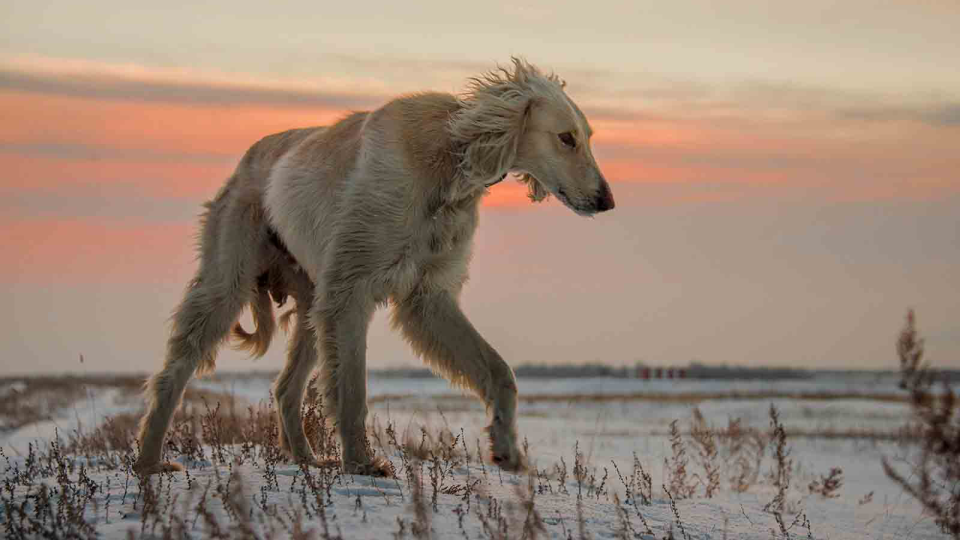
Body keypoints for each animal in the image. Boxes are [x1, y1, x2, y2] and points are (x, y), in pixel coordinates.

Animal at [133, 58, 616, 476]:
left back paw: (307, 460)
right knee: (173, 375)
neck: (446, 161)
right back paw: (149, 461)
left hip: (313, 301)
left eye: (588, 136)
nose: (606, 200)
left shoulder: (427, 297)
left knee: (286, 387)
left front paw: (506, 447)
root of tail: (248, 157)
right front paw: (361, 463)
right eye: (566, 137)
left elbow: (499, 371)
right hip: (230, 280)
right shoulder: (351, 291)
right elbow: (352, 391)